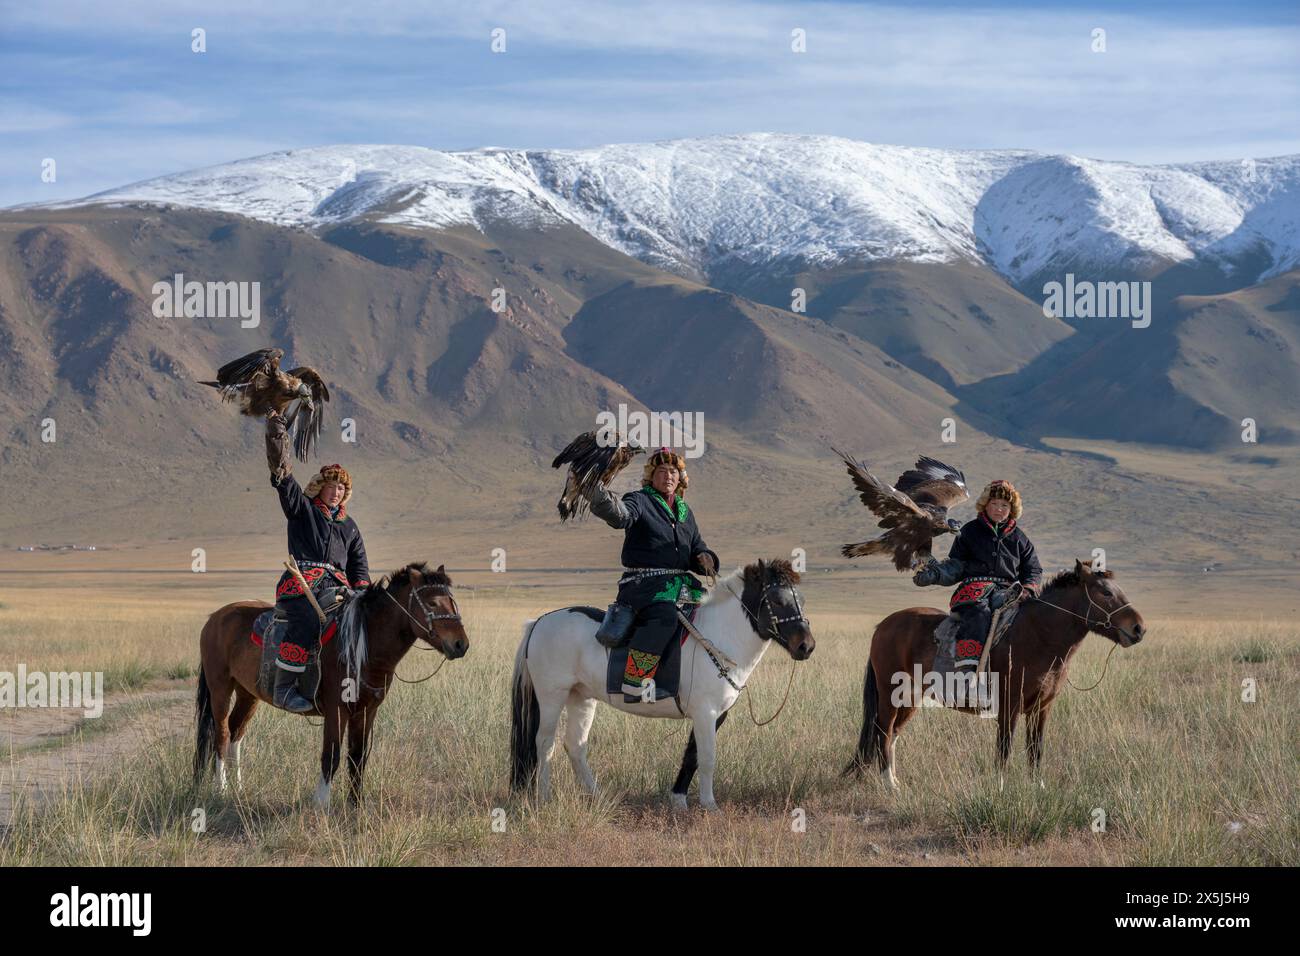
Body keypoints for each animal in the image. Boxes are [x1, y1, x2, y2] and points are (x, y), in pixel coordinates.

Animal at [195, 561, 470, 806]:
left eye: (452, 601)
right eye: (432, 603)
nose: (461, 644)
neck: (363, 644)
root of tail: (214, 618)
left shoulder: (366, 711)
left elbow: (357, 757)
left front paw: (355, 804)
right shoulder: (337, 710)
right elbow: (332, 755)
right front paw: (322, 803)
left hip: (248, 693)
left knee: (236, 731)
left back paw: (238, 789)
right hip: (220, 687)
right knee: (221, 733)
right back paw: (221, 789)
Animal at [506, 556, 811, 811]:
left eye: (801, 600)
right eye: (778, 600)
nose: (806, 646)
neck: (720, 636)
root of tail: (539, 621)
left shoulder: (715, 715)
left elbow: (692, 755)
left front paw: (679, 801)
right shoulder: (705, 712)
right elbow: (707, 758)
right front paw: (710, 806)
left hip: (581, 697)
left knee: (575, 744)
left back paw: (598, 796)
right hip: (552, 695)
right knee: (544, 743)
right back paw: (544, 797)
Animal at [847, 556, 1144, 790]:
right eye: (1105, 592)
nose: (1139, 628)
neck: (1037, 636)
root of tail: (883, 625)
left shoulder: (1041, 708)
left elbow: (1036, 749)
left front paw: (1037, 788)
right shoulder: (1008, 706)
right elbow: (1004, 748)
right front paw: (999, 788)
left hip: (911, 698)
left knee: (893, 734)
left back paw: (895, 781)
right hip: (890, 695)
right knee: (884, 731)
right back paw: (889, 784)